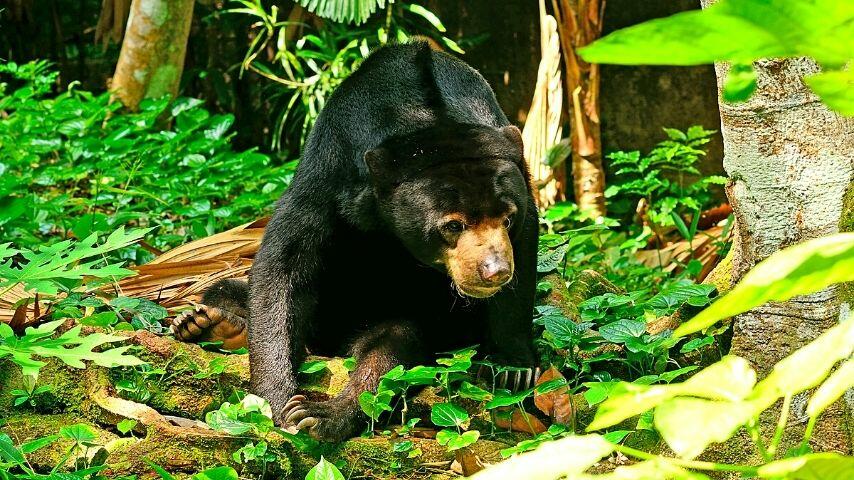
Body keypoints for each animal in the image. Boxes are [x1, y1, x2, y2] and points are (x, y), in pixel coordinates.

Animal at [171, 42, 540, 442]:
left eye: (507, 218)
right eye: (452, 226)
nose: (495, 272)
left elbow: (525, 250)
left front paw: (513, 369)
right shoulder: (329, 170)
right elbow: (283, 263)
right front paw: (275, 400)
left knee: (393, 346)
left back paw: (319, 415)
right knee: (222, 290)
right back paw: (207, 323)